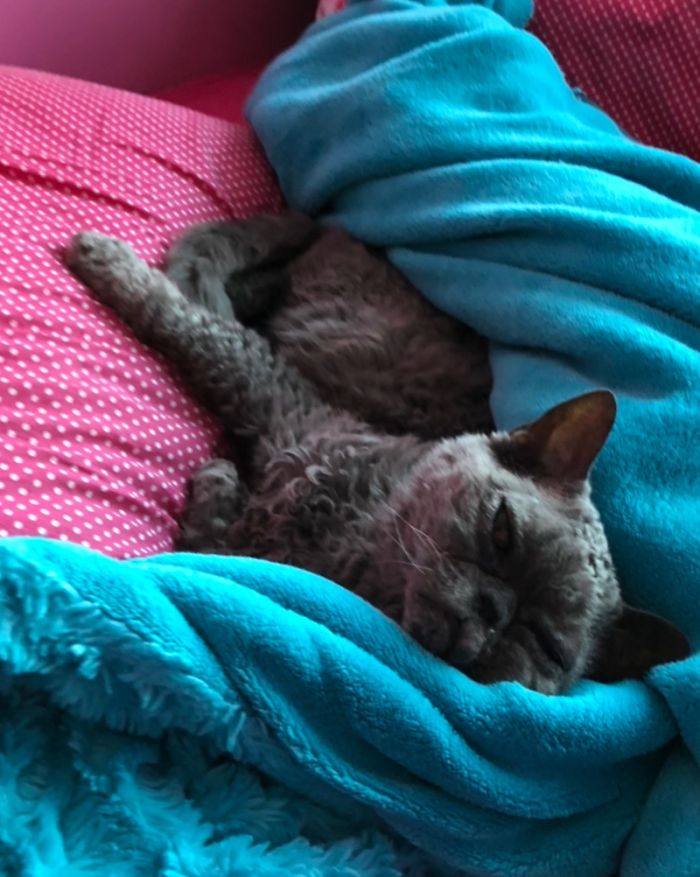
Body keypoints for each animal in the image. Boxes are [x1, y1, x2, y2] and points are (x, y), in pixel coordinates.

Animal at [65, 216, 688, 696]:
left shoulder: (246, 550)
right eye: (502, 532)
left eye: (545, 645)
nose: (492, 613)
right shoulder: (276, 395)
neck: (351, 547)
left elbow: (205, 537)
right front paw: (105, 259)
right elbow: (192, 329)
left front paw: (217, 480)